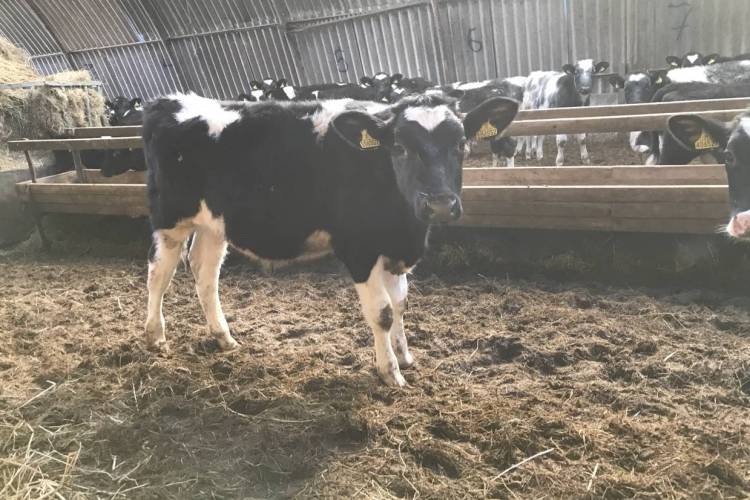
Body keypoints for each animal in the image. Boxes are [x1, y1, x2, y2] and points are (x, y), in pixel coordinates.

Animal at [141, 92, 519, 387]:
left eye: (461, 144)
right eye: (399, 146)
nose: (440, 204)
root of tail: (169, 101)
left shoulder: (394, 247)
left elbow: (400, 304)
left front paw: (404, 356)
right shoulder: (359, 249)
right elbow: (382, 312)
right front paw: (390, 372)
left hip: (213, 224)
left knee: (204, 273)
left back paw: (224, 338)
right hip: (170, 219)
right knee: (159, 273)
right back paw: (156, 336)